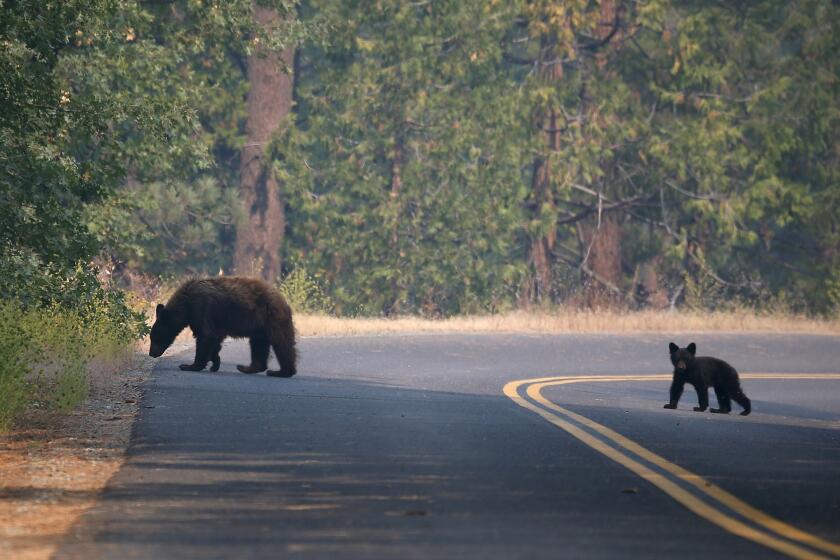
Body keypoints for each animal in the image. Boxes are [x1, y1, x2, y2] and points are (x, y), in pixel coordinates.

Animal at [149, 278, 296, 378]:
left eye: (155, 338)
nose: (151, 353)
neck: (186, 305)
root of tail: (283, 300)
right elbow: (214, 339)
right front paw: (215, 363)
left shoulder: (202, 309)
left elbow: (205, 336)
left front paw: (190, 366)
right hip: (260, 327)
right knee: (258, 344)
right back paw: (248, 368)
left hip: (273, 318)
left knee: (282, 343)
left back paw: (281, 371)